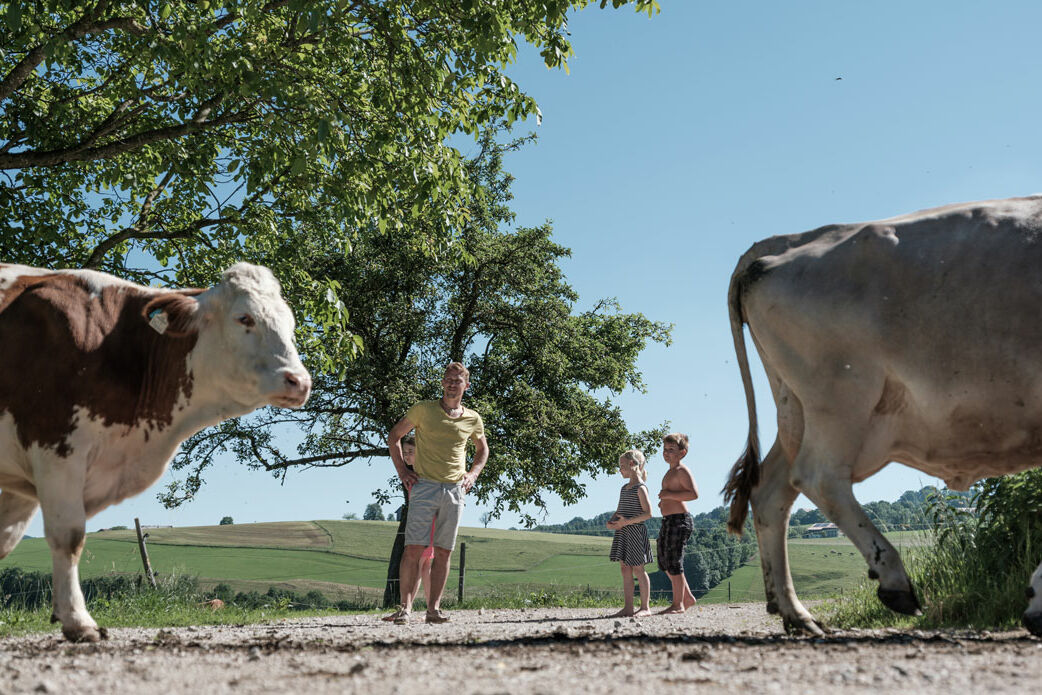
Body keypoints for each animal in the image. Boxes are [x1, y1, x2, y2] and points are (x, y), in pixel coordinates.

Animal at [0, 263, 308, 646]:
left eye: (290, 325)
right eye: (244, 318)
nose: (300, 381)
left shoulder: (22, 479)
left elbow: (4, 540)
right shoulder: (55, 445)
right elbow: (68, 537)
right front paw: (78, 621)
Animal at [725, 194, 1042, 637]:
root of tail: (782, 243)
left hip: (797, 408)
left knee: (770, 490)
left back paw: (797, 614)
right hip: (842, 397)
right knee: (817, 476)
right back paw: (895, 580)